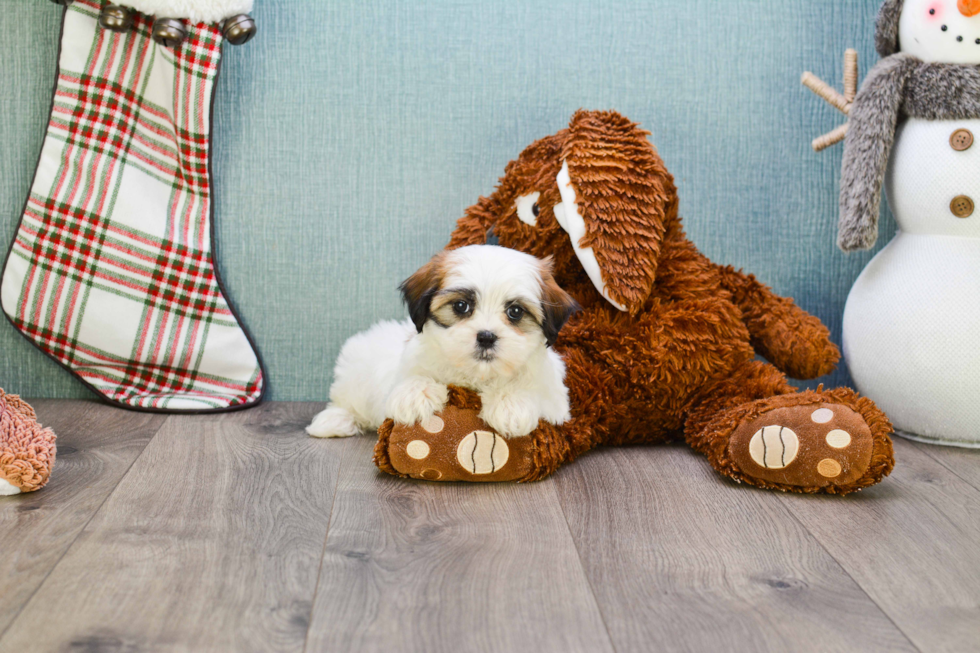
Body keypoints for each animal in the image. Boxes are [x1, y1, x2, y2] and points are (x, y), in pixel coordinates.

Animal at [306, 244, 580, 438]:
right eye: (461, 306)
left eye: (515, 312)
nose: (486, 336)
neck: (476, 375)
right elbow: (413, 377)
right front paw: (414, 394)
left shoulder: (556, 400)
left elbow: (533, 392)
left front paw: (510, 404)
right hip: (355, 374)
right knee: (345, 400)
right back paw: (335, 421)